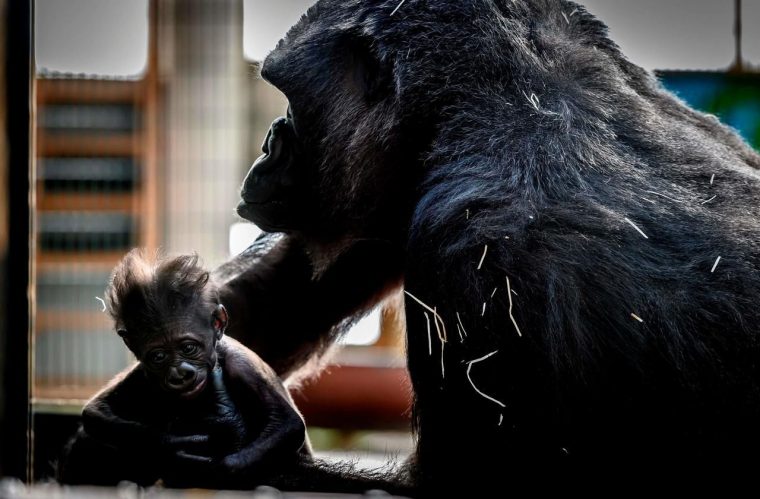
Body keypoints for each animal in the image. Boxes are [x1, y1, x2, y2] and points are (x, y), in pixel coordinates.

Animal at [58, 250, 308, 488]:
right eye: (159, 357)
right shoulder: (142, 372)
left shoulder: (242, 365)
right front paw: (170, 448)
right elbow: (96, 412)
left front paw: (216, 468)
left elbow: (287, 424)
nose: (180, 373)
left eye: (188, 348)